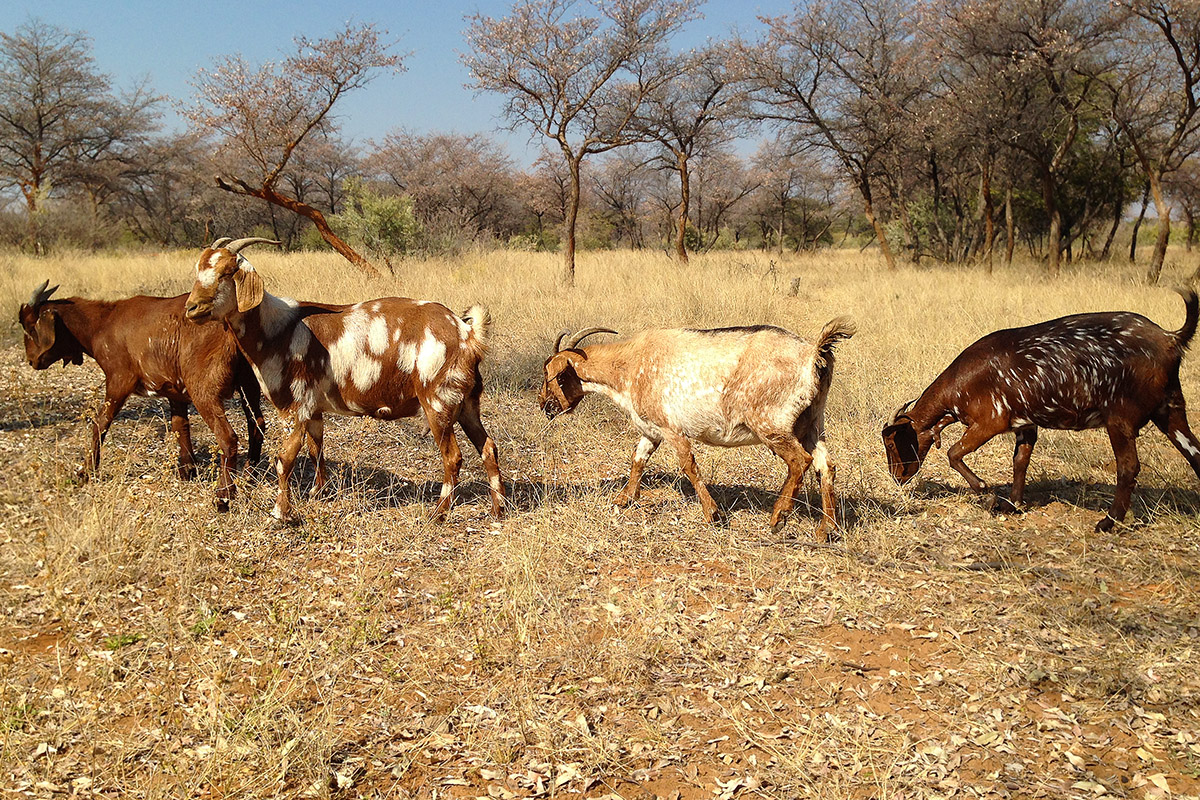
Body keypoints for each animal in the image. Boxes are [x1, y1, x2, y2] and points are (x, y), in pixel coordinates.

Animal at [17, 278, 265, 510]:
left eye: (29, 326)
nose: (31, 360)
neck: (102, 322)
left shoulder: (119, 379)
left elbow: (100, 423)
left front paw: (86, 472)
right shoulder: (175, 390)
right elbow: (180, 426)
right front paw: (187, 471)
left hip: (203, 389)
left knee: (228, 437)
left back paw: (224, 496)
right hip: (250, 381)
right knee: (257, 424)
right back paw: (249, 477)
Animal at [182, 237, 506, 525]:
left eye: (227, 272)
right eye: (197, 271)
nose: (191, 308)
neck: (277, 330)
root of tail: (467, 334)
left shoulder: (298, 406)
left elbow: (284, 460)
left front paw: (281, 514)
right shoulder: (314, 410)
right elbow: (317, 450)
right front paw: (318, 493)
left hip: (438, 402)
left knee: (453, 457)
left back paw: (439, 514)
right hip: (466, 404)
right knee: (489, 447)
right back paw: (498, 509)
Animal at [883, 289, 1200, 532]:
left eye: (892, 443)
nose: (896, 476)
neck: (959, 383)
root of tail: (1169, 337)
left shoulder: (989, 421)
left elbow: (953, 454)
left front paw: (988, 495)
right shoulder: (1026, 424)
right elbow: (1020, 461)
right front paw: (1013, 503)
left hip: (1120, 418)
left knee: (1128, 467)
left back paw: (1108, 522)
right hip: (1171, 410)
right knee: (1195, 454)